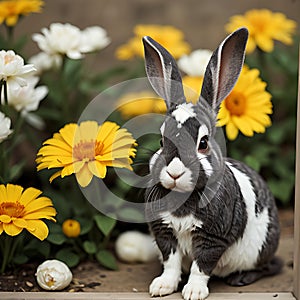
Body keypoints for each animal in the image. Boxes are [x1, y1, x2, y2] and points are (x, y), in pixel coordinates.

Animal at [142, 26, 280, 300]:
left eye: (203, 143)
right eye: (162, 140)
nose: (174, 172)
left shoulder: (212, 238)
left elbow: (201, 266)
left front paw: (193, 292)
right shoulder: (165, 233)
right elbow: (171, 263)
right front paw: (162, 287)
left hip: (262, 249)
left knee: (270, 267)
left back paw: (242, 278)